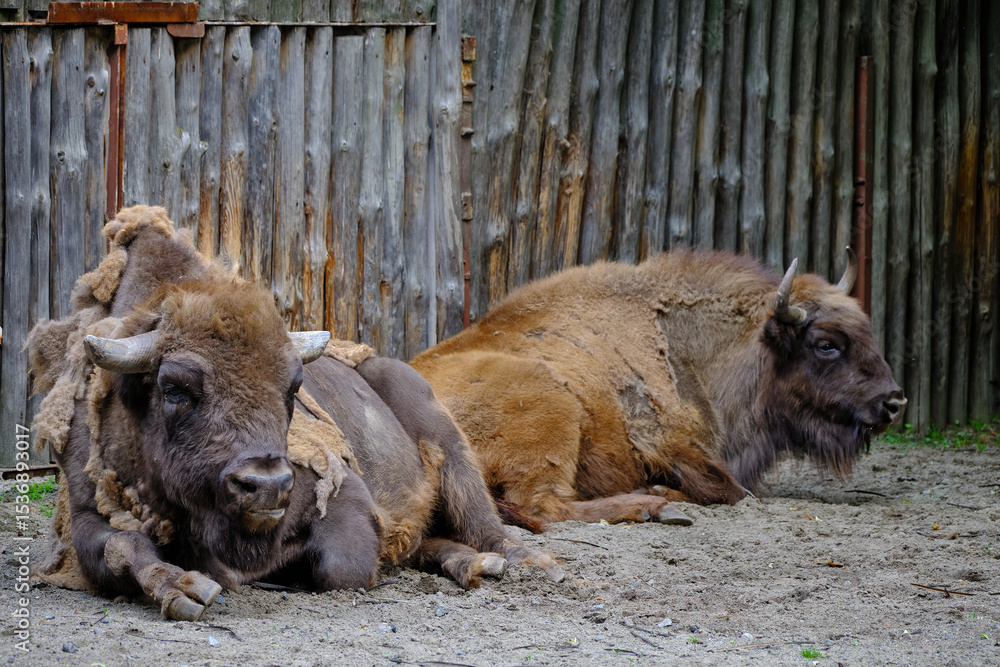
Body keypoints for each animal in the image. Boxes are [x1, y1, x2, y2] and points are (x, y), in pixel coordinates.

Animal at [29, 206, 558, 621]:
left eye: (294, 385)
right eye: (175, 388)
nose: (265, 485)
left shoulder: (343, 493)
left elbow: (338, 566)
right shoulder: (87, 517)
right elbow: (123, 548)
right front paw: (186, 589)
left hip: (444, 439)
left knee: (482, 519)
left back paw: (523, 563)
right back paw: (468, 564)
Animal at [411, 250, 905, 525]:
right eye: (826, 345)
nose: (894, 402)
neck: (688, 348)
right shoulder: (674, 447)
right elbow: (732, 491)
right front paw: (664, 493)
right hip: (553, 408)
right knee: (542, 507)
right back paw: (654, 506)